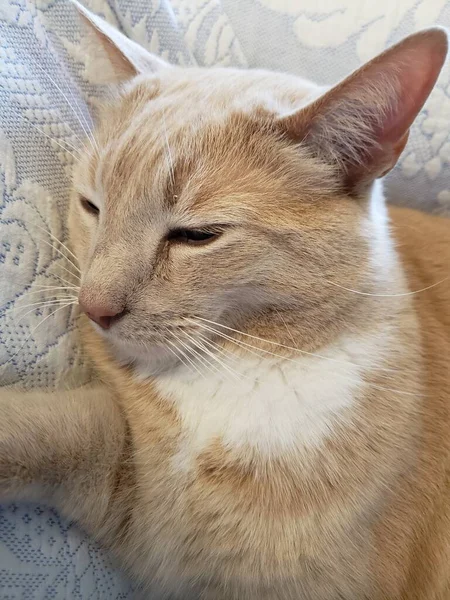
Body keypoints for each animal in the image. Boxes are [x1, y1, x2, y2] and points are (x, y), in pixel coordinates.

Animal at [0, 2, 450, 596]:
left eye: (197, 235)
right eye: (92, 206)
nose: (94, 308)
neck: (253, 363)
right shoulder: (142, 500)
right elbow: (57, 430)